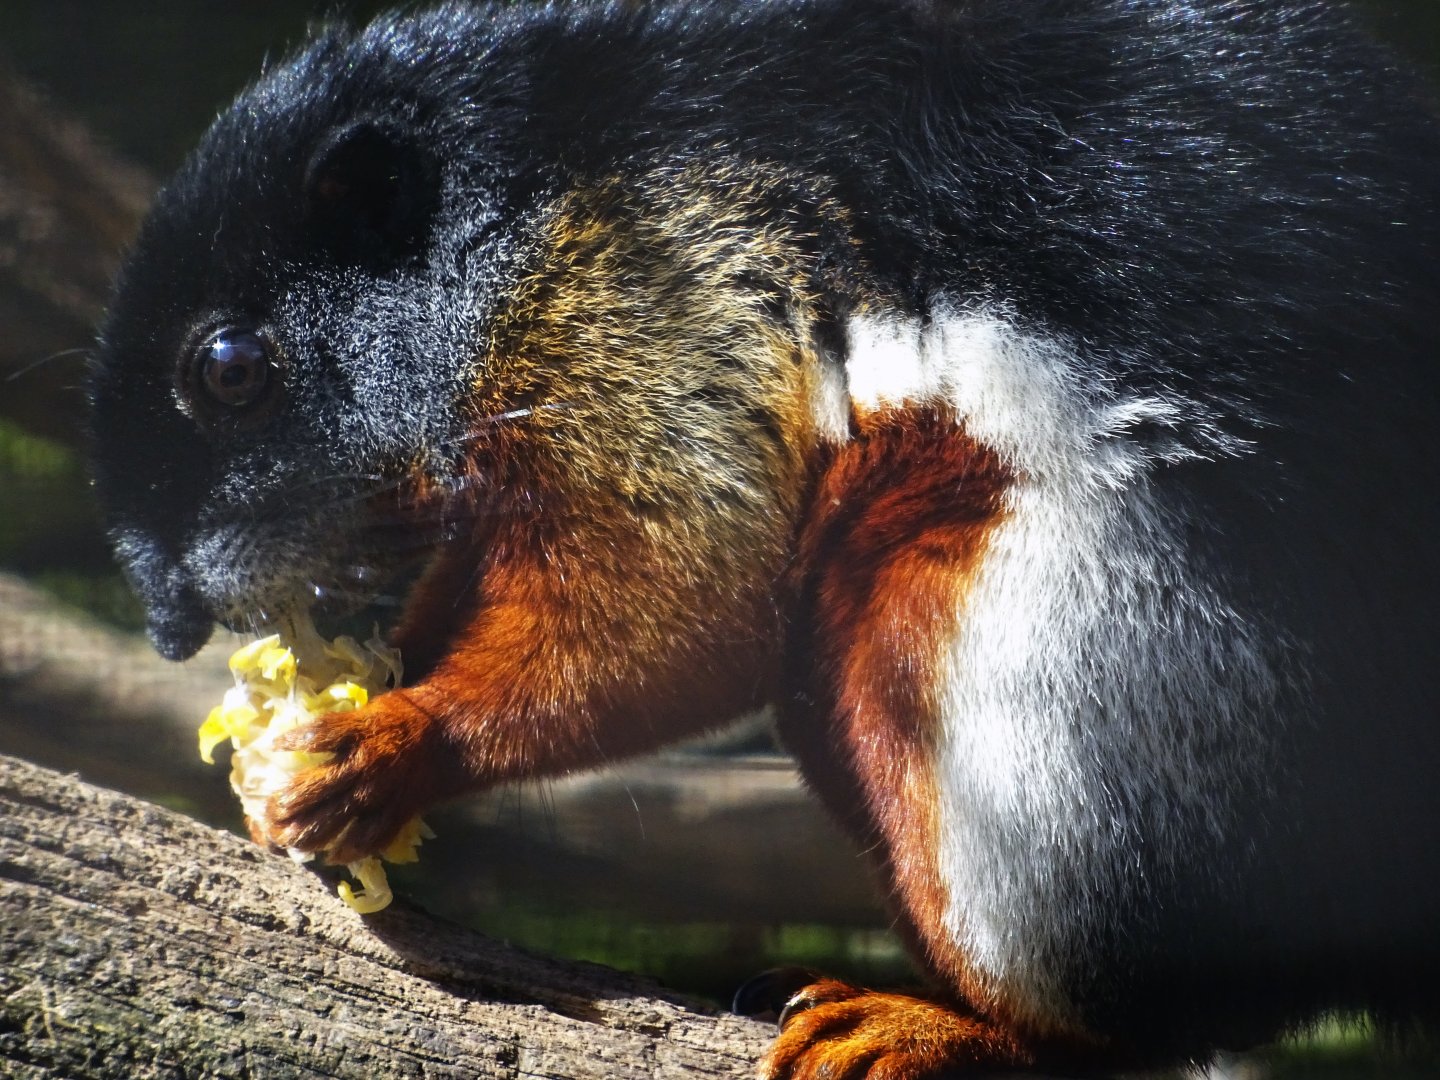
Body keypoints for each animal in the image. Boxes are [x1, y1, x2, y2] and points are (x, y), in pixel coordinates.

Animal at [88, 0, 1440, 1074]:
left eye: (230, 366)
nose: (169, 622)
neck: (520, 198)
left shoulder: (660, 325)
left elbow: (679, 593)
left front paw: (379, 748)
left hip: (1072, 683)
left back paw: (947, 1027)